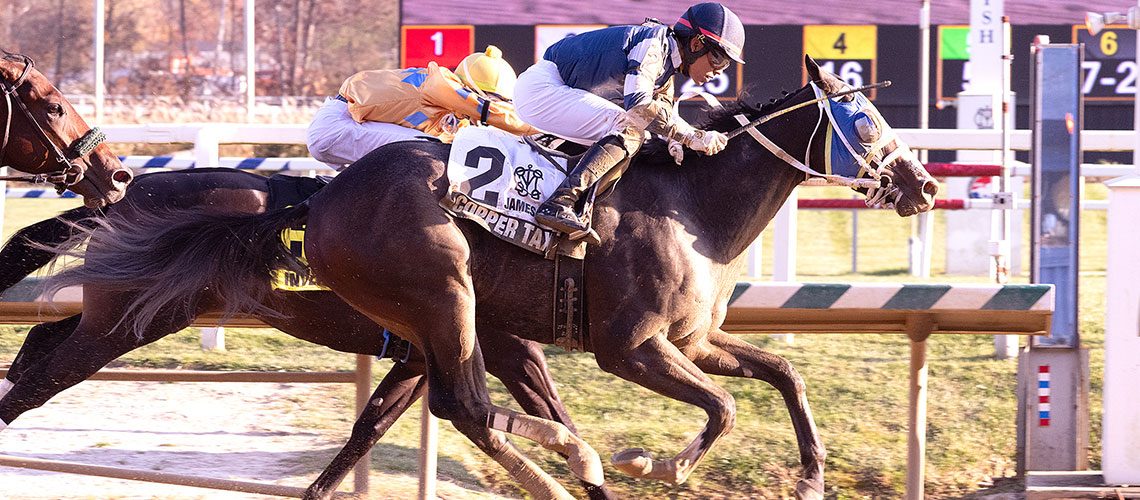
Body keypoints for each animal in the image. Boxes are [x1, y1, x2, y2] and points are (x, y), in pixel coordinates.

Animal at [36, 55, 938, 499]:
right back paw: (577, 460)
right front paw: (654, 463)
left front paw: (812, 474)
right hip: (441, 292)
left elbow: (783, 373)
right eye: (863, 120)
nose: (922, 184)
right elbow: (720, 407)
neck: (691, 203)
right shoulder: (628, 347)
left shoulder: (694, 338)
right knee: (465, 404)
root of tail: (321, 203)